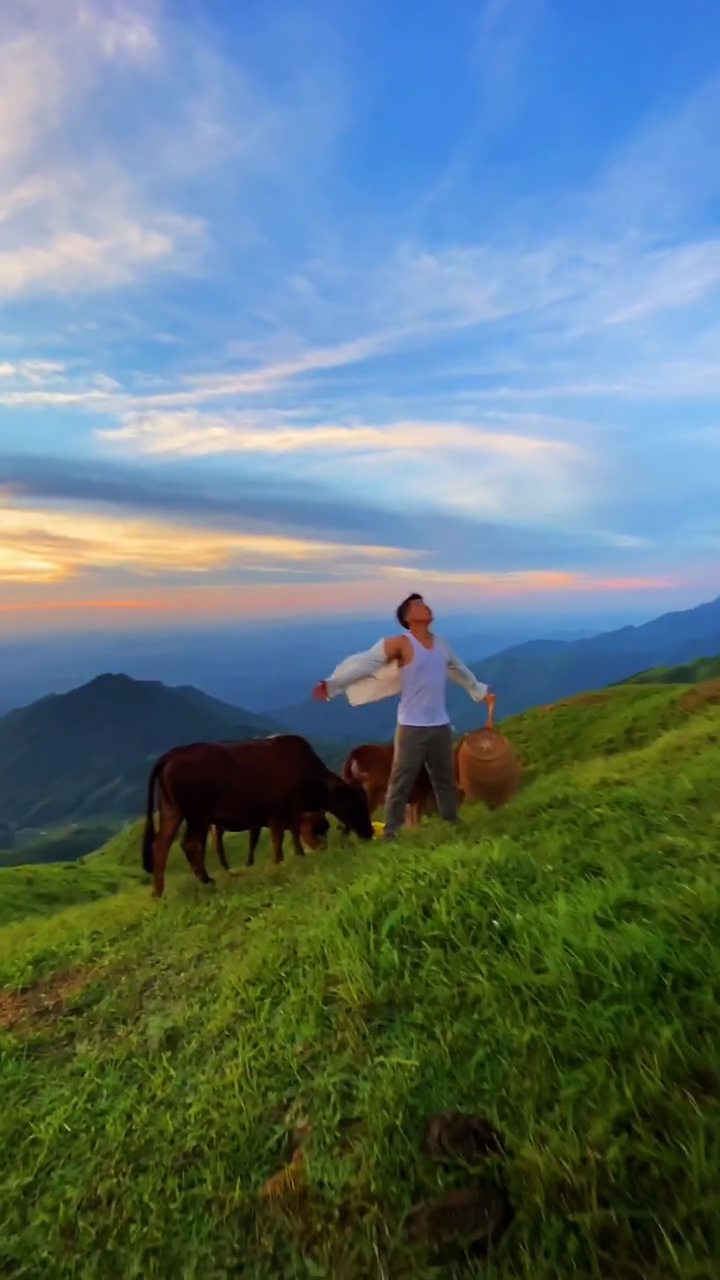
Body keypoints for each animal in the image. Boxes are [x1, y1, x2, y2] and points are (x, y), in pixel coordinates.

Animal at [140, 737, 368, 896]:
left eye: (326, 826)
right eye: (356, 803)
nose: (368, 832)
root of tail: (171, 754)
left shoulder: (280, 814)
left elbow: (286, 834)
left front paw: (292, 856)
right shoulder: (280, 812)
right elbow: (282, 836)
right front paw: (286, 858)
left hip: (172, 812)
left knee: (161, 845)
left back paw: (159, 890)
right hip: (198, 816)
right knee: (189, 844)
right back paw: (206, 879)